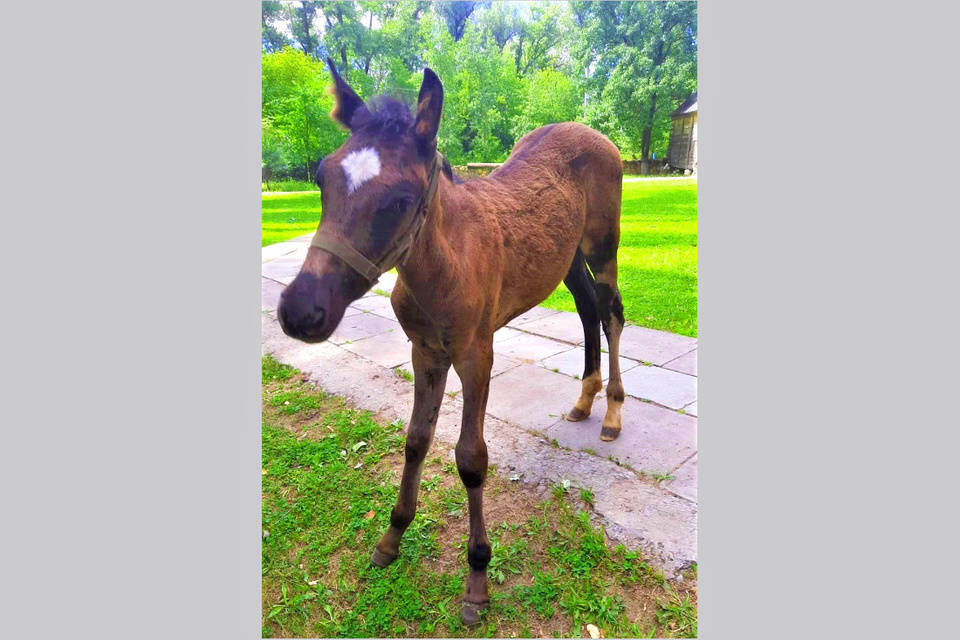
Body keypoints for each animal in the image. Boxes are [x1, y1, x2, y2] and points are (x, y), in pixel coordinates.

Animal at [276, 61, 632, 624]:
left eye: (400, 199)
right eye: (321, 179)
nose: (300, 311)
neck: (443, 263)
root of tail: (599, 137)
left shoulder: (475, 354)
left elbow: (469, 457)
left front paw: (477, 578)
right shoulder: (424, 352)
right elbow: (417, 439)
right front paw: (391, 537)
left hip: (603, 243)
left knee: (611, 312)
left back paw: (614, 411)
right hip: (569, 253)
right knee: (586, 307)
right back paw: (584, 398)